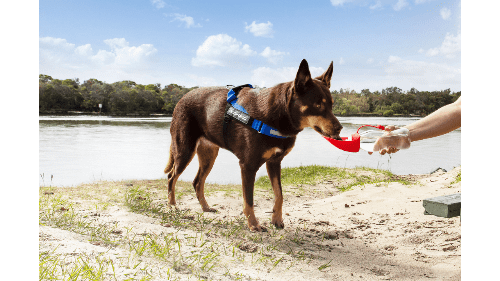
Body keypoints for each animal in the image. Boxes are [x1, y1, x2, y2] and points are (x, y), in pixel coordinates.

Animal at [166, 58, 342, 230]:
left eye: (332, 104)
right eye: (318, 105)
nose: (339, 128)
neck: (278, 116)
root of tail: (182, 98)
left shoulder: (274, 162)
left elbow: (279, 194)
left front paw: (276, 219)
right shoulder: (248, 165)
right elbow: (249, 200)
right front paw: (253, 224)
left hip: (208, 155)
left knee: (197, 182)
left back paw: (205, 207)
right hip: (184, 150)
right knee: (171, 177)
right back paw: (172, 206)